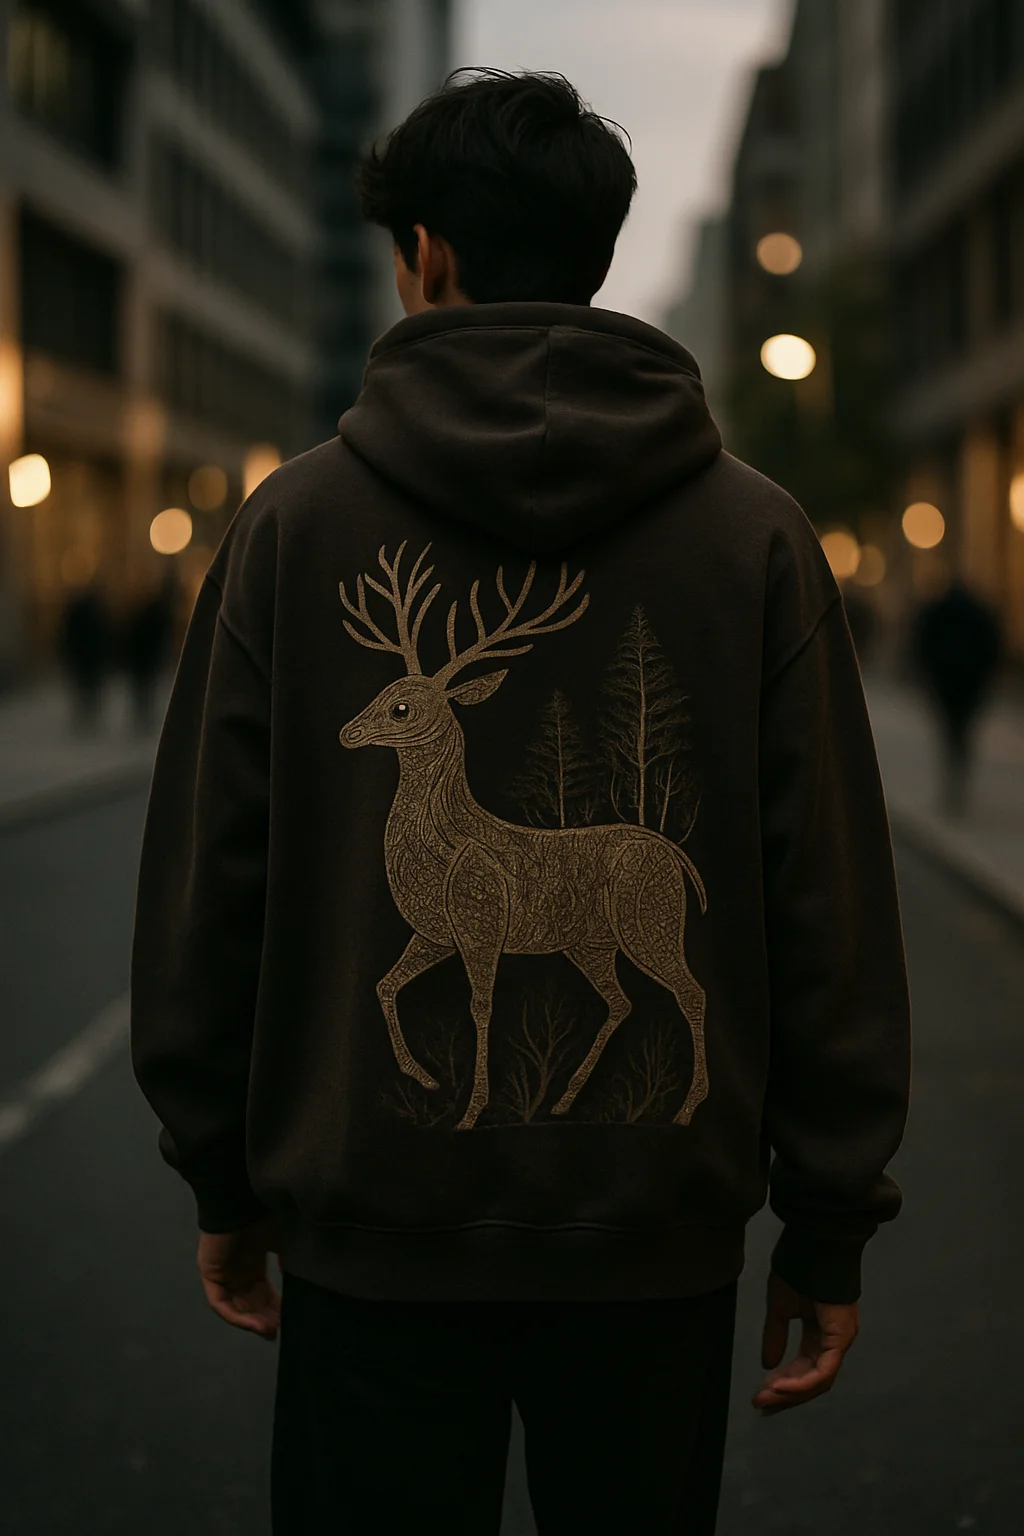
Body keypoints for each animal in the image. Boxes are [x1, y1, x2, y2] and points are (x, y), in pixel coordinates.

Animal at [339, 543, 708, 1132]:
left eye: (401, 707)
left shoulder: (481, 921)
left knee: (691, 992)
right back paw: (565, 1099)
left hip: (651, 919)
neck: (441, 843)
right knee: (621, 1002)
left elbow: (481, 1007)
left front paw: (471, 1112)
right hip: (591, 942)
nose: (347, 732)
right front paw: (424, 1077)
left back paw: (687, 1106)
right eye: (384, 690)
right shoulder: (435, 933)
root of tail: (673, 854)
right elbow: (385, 984)